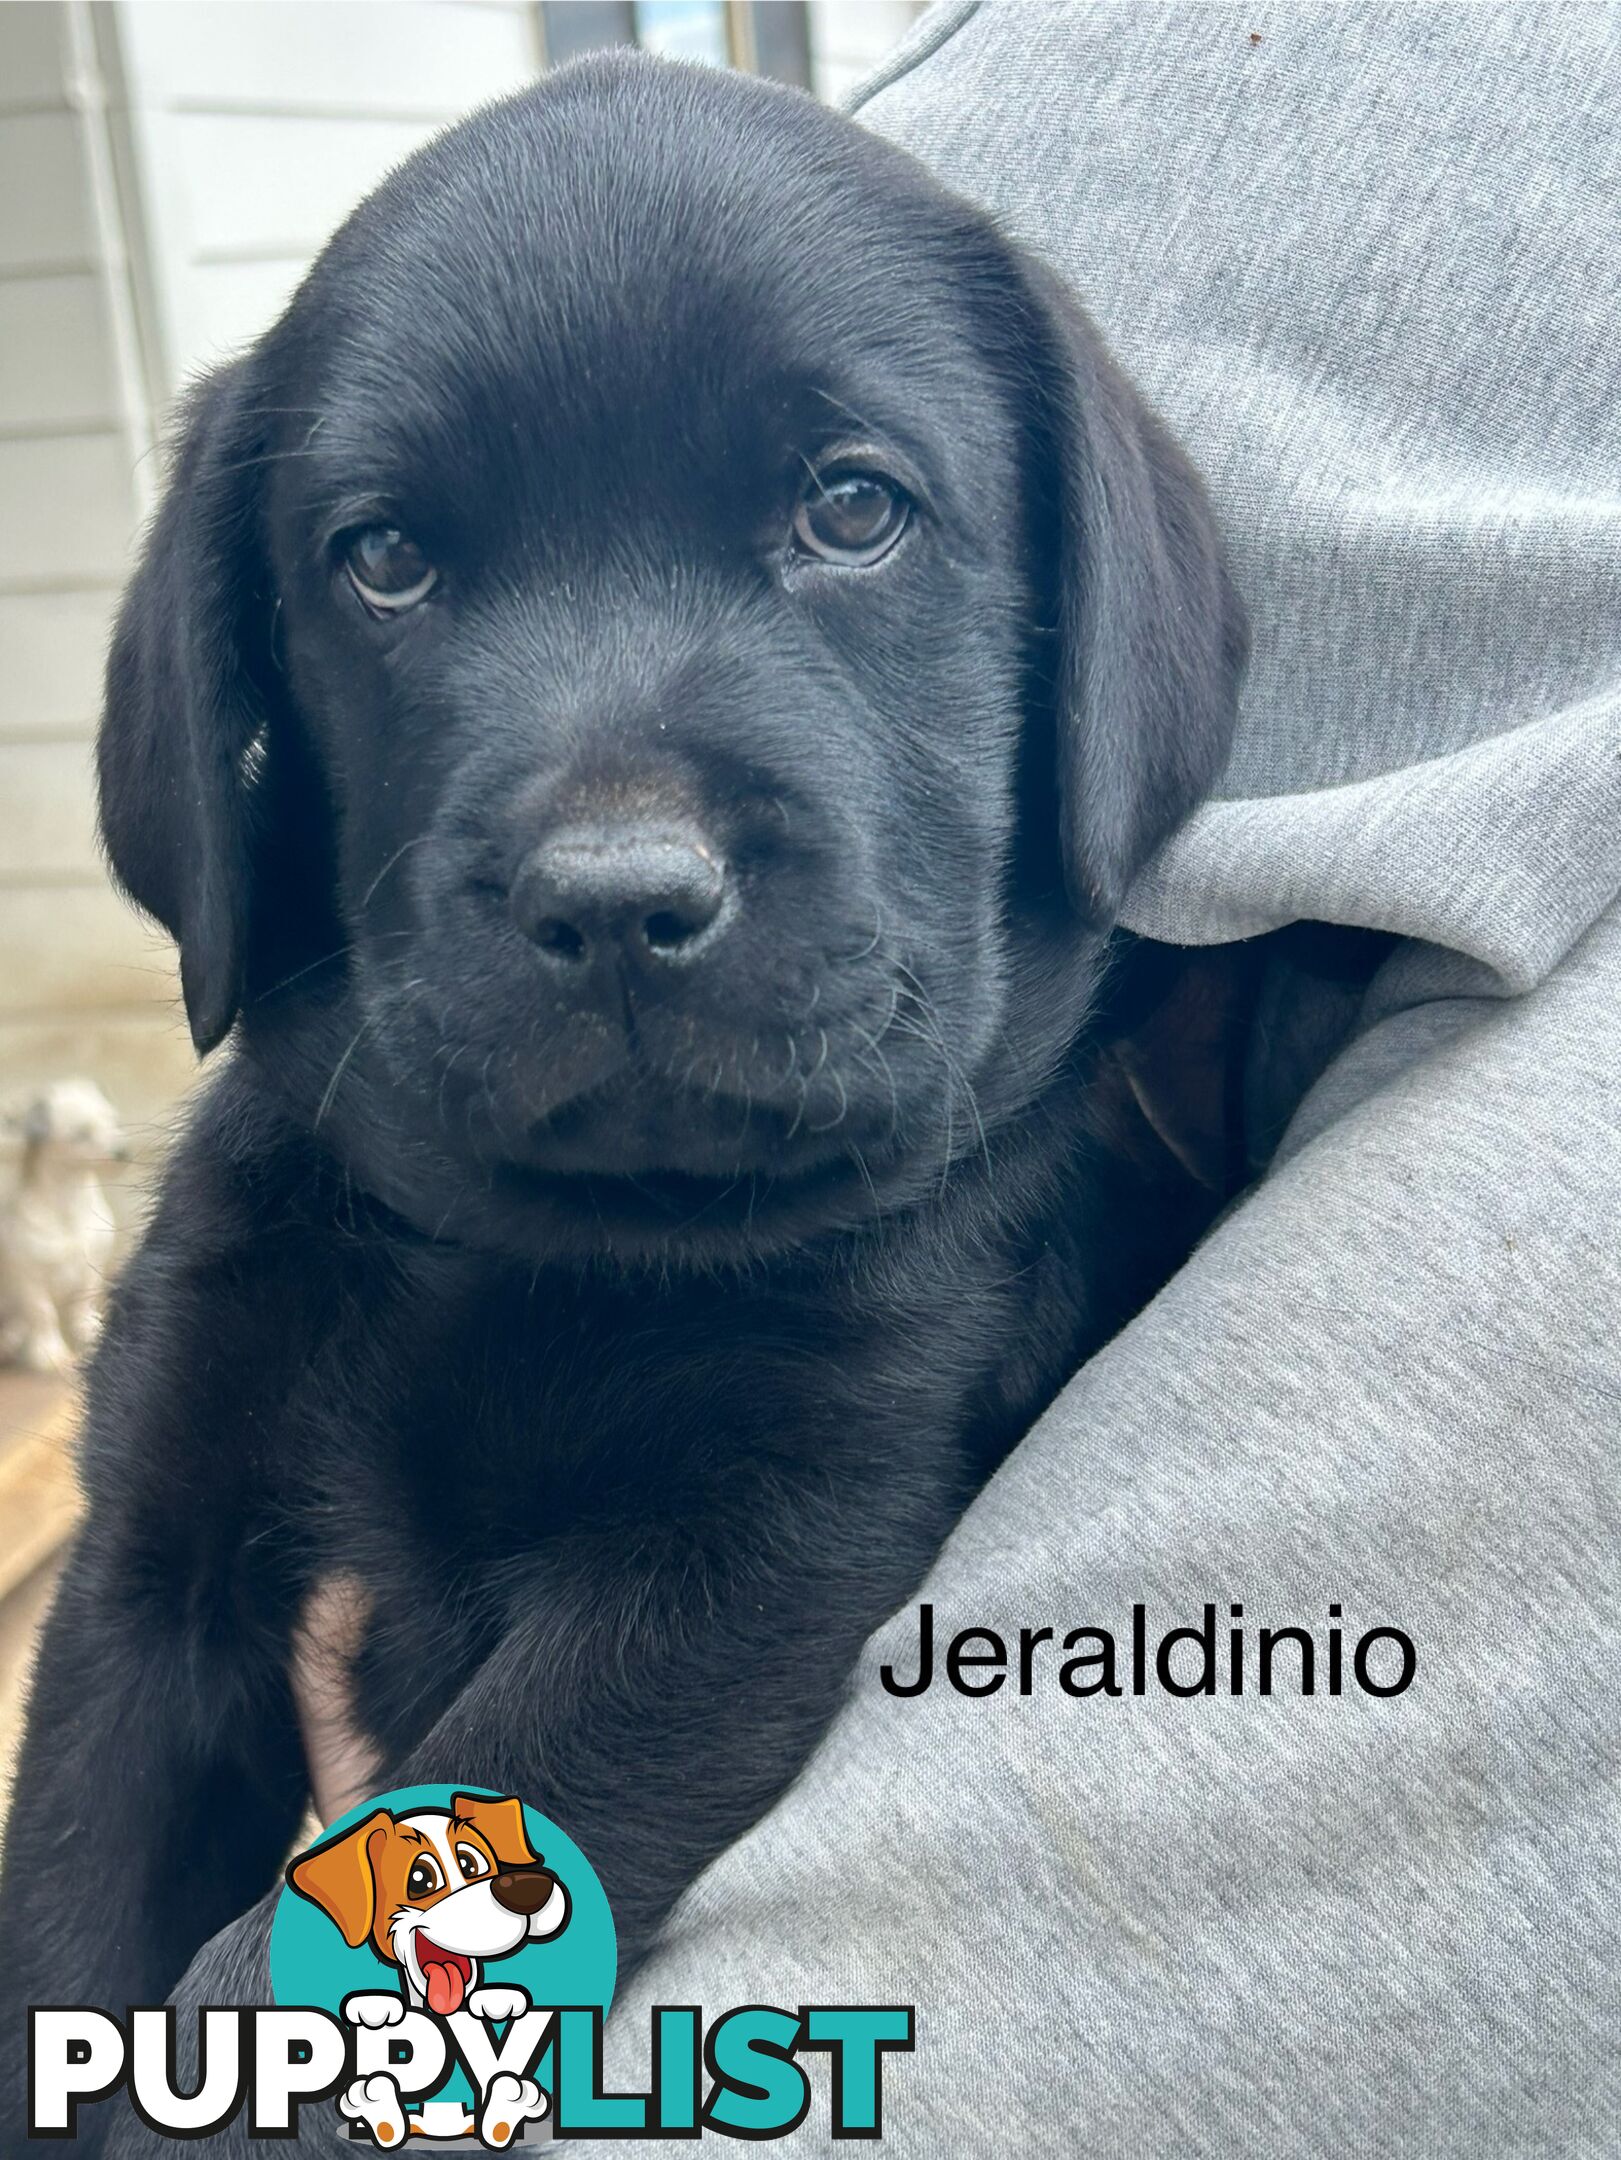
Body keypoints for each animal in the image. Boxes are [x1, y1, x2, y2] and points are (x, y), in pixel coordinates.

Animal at [0, 50, 1244, 2142]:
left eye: (851, 507)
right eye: (386, 559)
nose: (614, 900)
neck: (525, 1247)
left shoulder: (753, 1549)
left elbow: (299, 1992)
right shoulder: (145, 1569)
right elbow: (74, 1931)